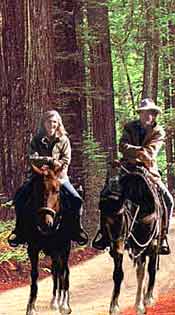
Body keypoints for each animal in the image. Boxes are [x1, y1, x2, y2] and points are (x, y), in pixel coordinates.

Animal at [24, 165, 72, 315]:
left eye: (57, 191)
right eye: (37, 191)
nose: (46, 223)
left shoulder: (59, 248)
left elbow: (60, 273)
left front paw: (62, 304)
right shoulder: (32, 249)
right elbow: (34, 275)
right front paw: (31, 306)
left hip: (64, 250)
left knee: (64, 271)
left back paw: (62, 303)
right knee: (57, 271)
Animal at [104, 165, 163, 315]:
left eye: (122, 220)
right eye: (105, 221)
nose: (115, 248)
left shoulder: (150, 243)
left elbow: (147, 270)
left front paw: (144, 301)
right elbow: (118, 274)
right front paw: (114, 306)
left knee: (148, 268)